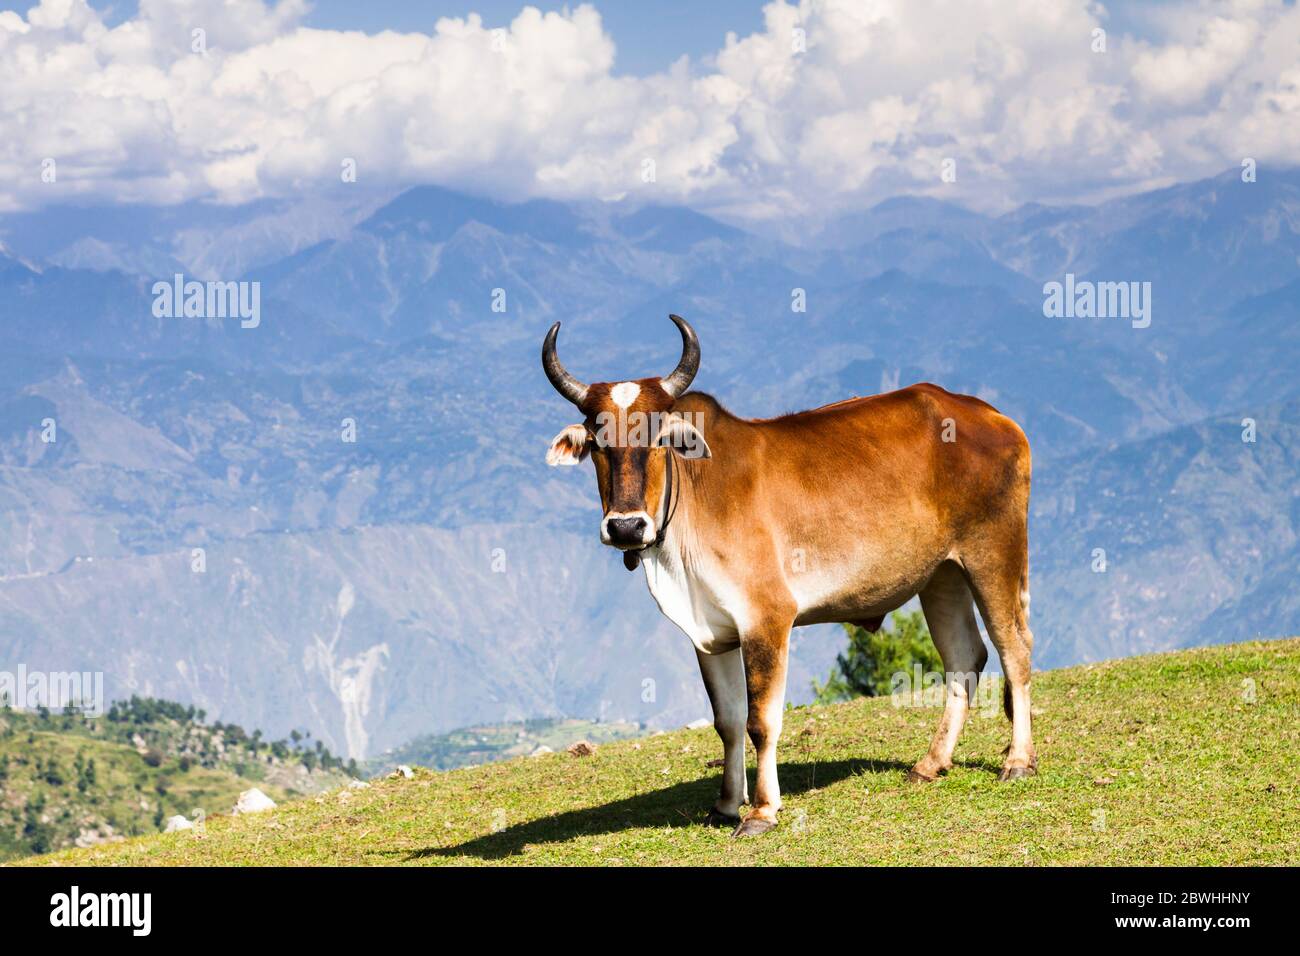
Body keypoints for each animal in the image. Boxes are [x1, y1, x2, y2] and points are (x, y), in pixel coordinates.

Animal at [540, 316, 1034, 837]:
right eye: (597, 441)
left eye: (657, 438)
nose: (626, 526)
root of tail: (991, 416)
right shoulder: (709, 635)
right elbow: (728, 721)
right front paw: (725, 804)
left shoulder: (767, 619)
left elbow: (761, 721)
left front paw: (761, 811)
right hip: (942, 575)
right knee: (964, 658)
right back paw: (930, 764)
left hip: (993, 553)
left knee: (1014, 648)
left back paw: (1018, 761)